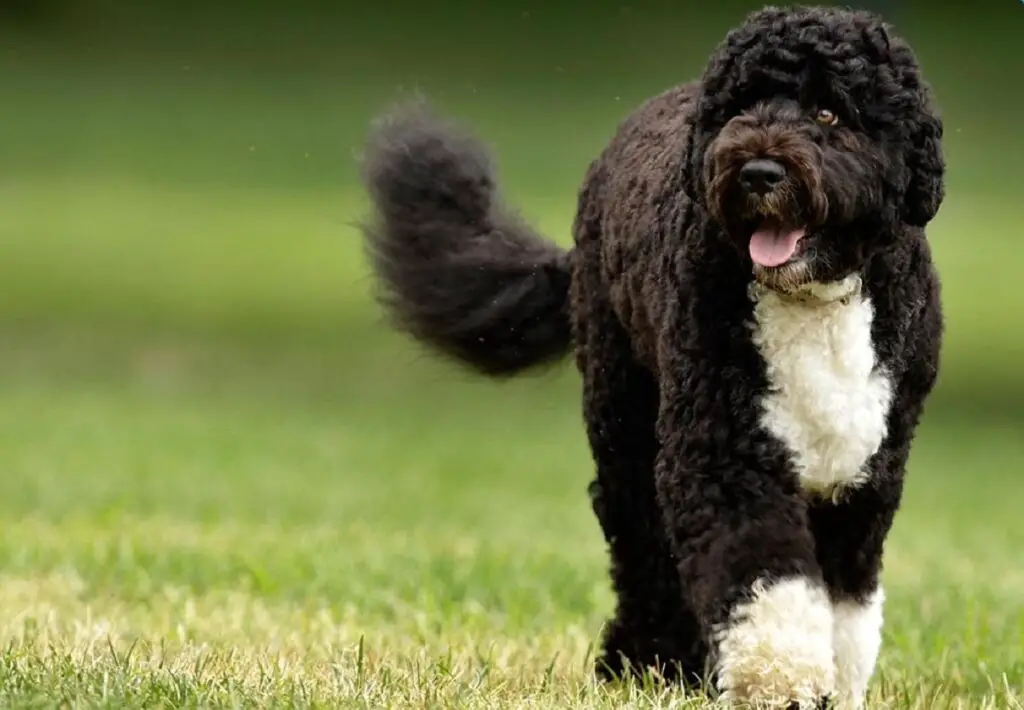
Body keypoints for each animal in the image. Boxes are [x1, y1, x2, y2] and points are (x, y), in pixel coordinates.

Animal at [358, 6, 942, 708]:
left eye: (829, 112)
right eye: (740, 106)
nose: (758, 172)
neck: (813, 299)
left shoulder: (862, 471)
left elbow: (844, 600)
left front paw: (832, 684)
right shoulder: (723, 454)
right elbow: (765, 580)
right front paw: (782, 680)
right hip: (625, 417)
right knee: (642, 544)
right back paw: (648, 664)